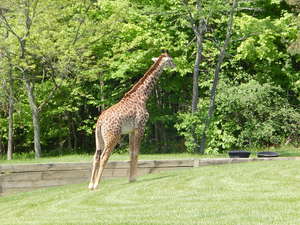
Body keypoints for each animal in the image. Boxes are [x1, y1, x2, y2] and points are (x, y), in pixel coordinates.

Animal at [88, 51, 175, 189]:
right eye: (171, 60)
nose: (175, 66)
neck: (142, 96)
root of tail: (100, 122)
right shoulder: (140, 126)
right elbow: (136, 152)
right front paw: (134, 178)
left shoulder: (131, 130)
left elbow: (130, 153)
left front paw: (130, 179)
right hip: (113, 137)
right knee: (104, 157)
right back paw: (97, 184)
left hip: (98, 138)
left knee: (96, 156)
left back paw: (90, 184)